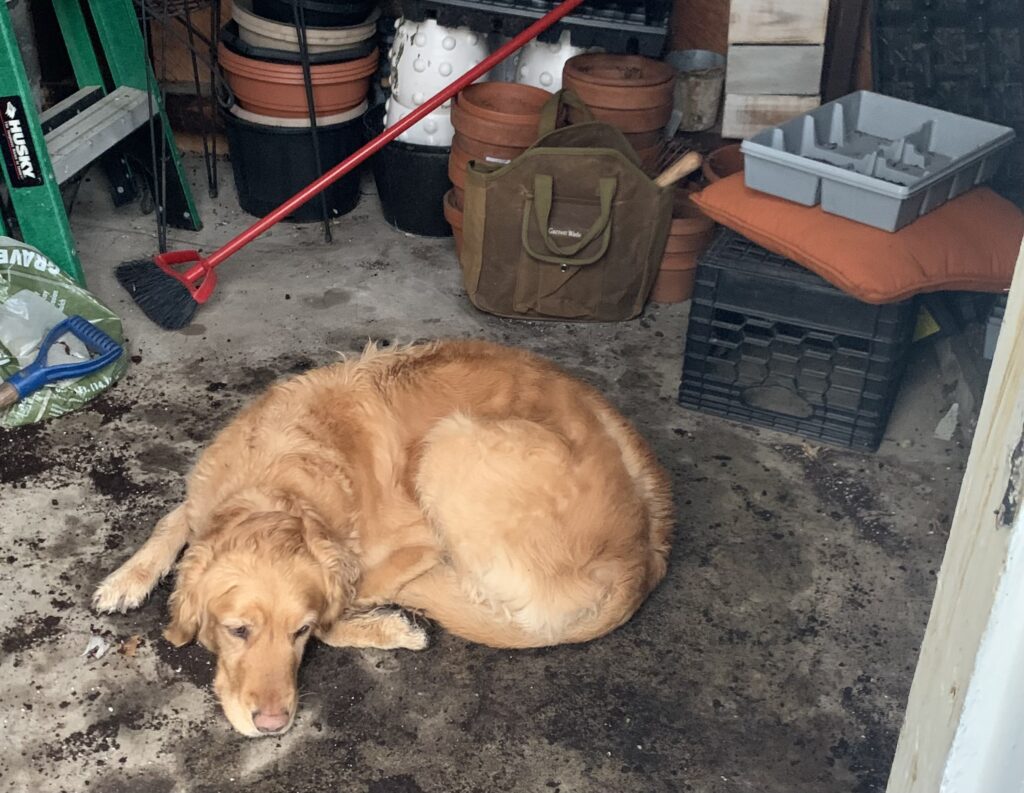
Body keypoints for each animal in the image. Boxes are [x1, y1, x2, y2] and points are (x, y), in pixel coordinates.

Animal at [94, 342, 671, 737]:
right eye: (237, 631)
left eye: (299, 632)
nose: (274, 724)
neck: (279, 480)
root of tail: (642, 561)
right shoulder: (204, 497)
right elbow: (174, 520)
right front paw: (126, 579)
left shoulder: (414, 539)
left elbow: (340, 610)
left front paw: (388, 628)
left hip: (452, 443)